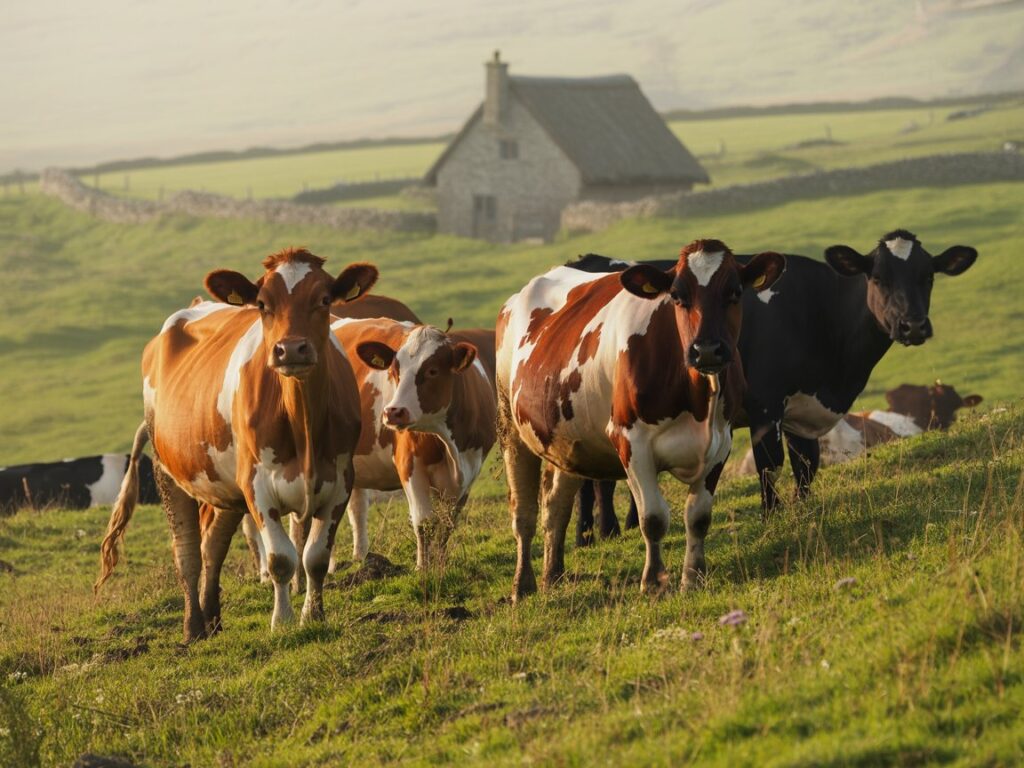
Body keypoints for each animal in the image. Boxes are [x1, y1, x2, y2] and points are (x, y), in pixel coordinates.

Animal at [96, 248, 377, 641]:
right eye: (262, 303)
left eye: (324, 300)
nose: (291, 349)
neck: (302, 422)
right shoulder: (257, 485)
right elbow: (281, 560)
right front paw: (282, 622)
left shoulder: (339, 481)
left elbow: (315, 558)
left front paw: (313, 617)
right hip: (168, 470)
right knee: (187, 552)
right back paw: (193, 627)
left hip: (225, 486)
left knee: (212, 546)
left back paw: (212, 619)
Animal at [497, 239, 784, 599]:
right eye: (677, 296)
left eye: (734, 292)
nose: (706, 350)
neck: (697, 400)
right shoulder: (631, 441)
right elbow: (653, 518)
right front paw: (654, 582)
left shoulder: (721, 443)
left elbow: (699, 517)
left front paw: (693, 577)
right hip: (510, 428)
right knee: (524, 513)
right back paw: (523, 585)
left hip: (566, 440)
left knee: (556, 507)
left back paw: (555, 575)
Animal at [567, 230, 977, 519]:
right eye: (877, 278)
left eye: (928, 276)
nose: (913, 326)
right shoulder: (766, 403)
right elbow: (769, 464)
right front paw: (771, 516)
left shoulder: (803, 407)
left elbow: (806, 465)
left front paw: (803, 509)